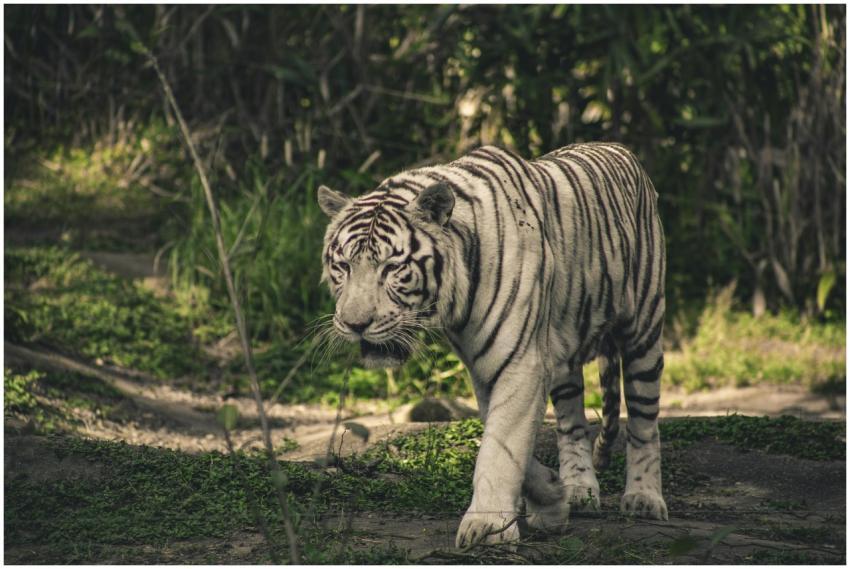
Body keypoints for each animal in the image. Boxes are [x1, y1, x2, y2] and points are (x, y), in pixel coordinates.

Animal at [317, 142, 668, 547]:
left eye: (392, 268)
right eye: (343, 266)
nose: (355, 325)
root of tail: (620, 148)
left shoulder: (519, 362)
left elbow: (500, 450)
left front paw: (487, 527)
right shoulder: (489, 367)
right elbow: (507, 442)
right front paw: (553, 497)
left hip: (644, 331)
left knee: (644, 422)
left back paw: (644, 498)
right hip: (565, 356)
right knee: (571, 424)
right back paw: (580, 490)